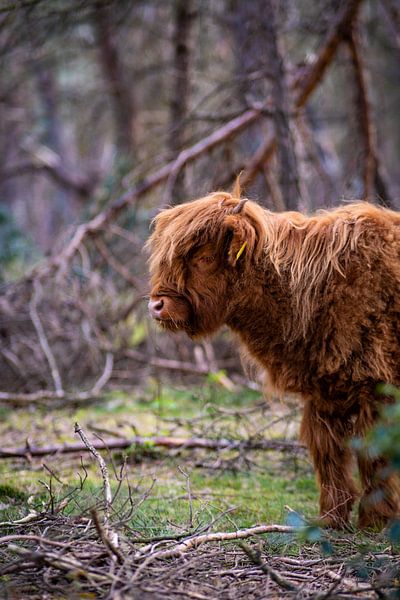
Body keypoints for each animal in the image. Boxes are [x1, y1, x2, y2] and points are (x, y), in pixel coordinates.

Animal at [147, 193, 400, 528]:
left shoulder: (376, 388)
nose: (157, 305)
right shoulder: (324, 393)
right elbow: (328, 452)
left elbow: (374, 454)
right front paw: (331, 520)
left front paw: (375, 523)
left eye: (204, 257)